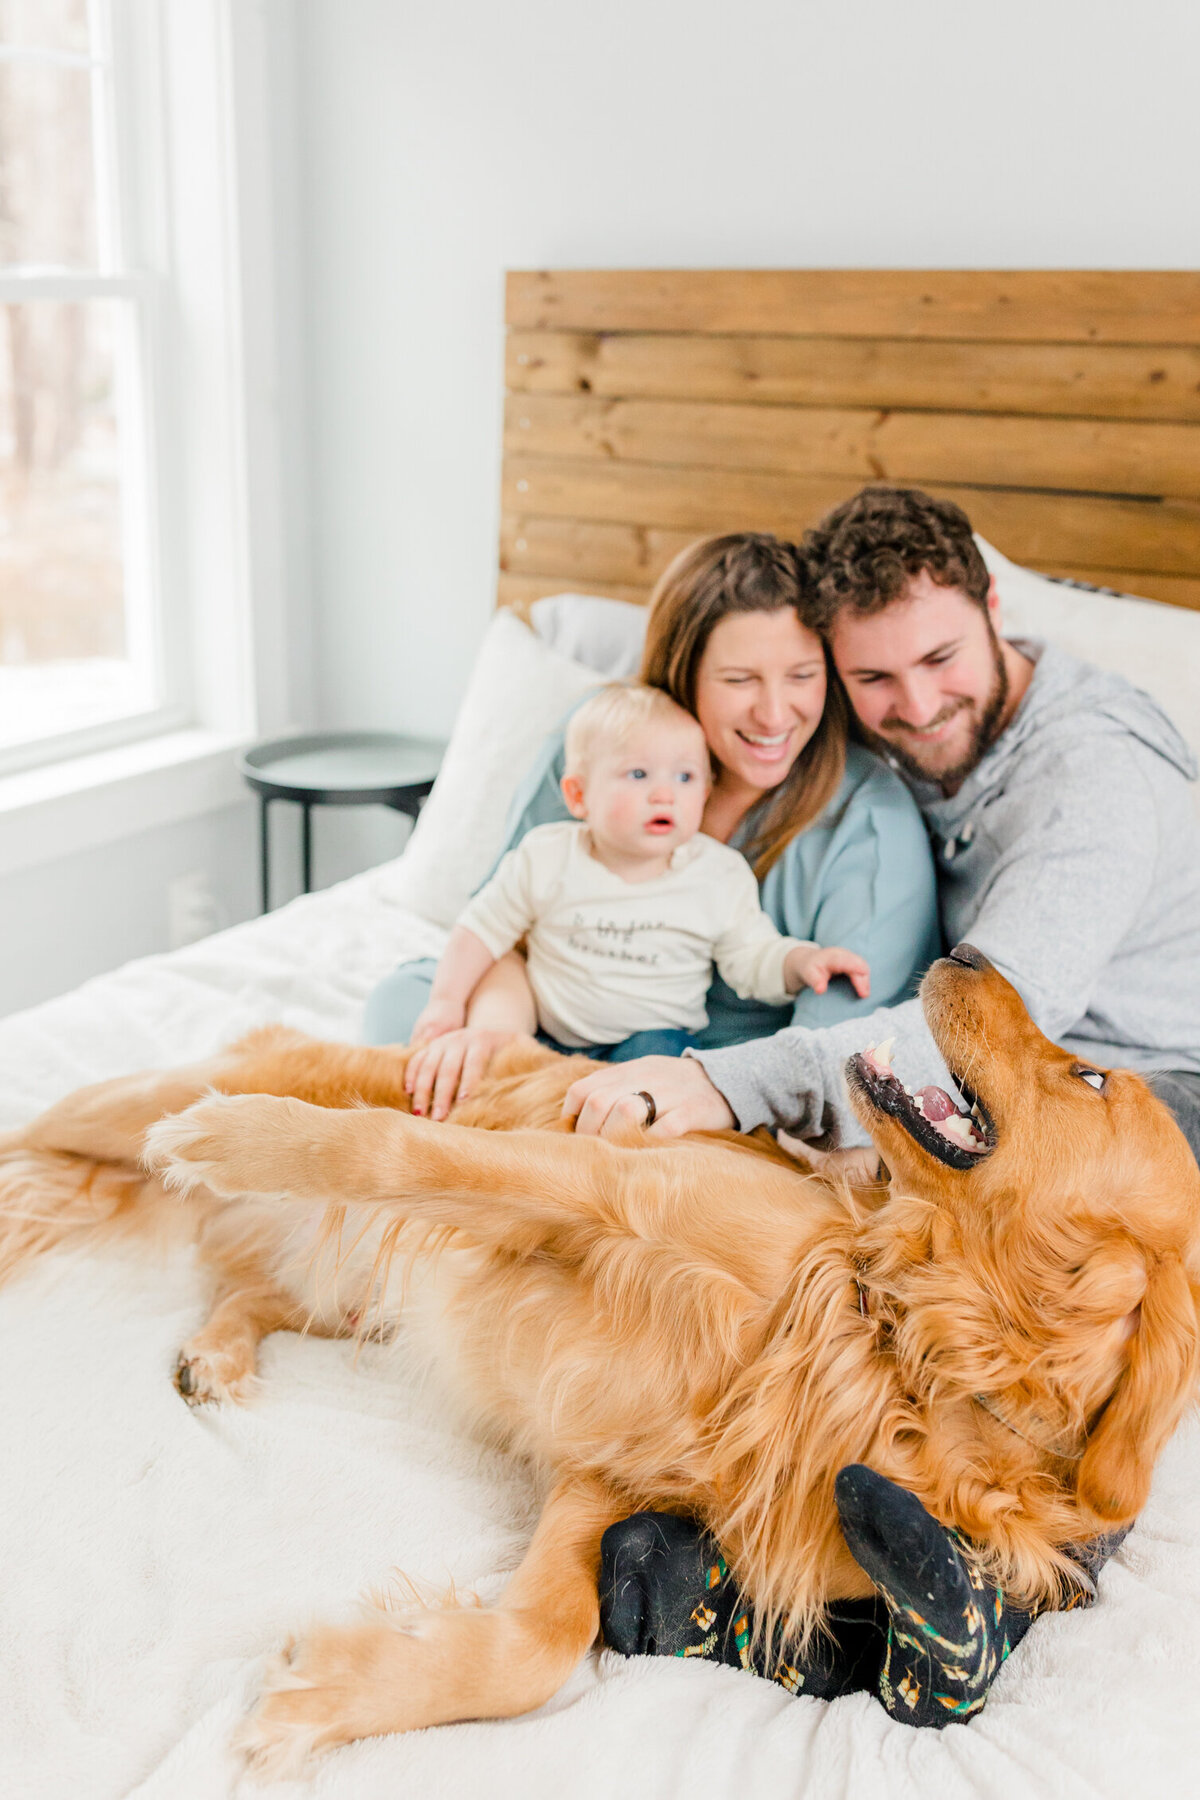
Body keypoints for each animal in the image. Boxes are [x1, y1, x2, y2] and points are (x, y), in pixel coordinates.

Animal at [0, 943, 1194, 1771]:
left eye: (1091, 1079)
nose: (968, 953)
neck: (901, 1344)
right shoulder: (597, 1179)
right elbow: (393, 1147)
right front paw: (243, 1136)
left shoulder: (606, 1474)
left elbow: (538, 1644)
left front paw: (333, 1692)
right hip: (135, 1112)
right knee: (50, 1131)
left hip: (345, 1295)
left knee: (244, 1285)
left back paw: (218, 1354)